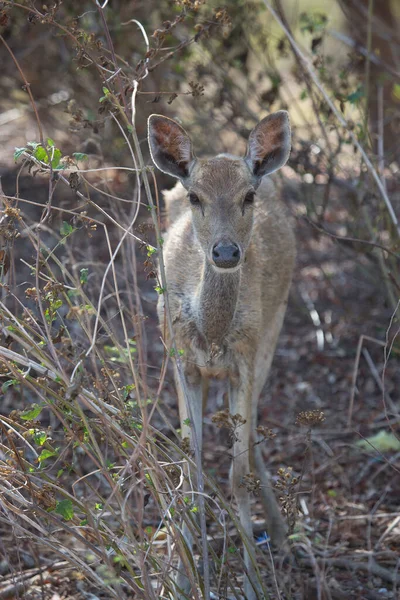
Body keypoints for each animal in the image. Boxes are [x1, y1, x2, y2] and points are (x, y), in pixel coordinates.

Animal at [148, 112, 296, 600]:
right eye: (196, 196)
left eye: (247, 195)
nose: (227, 251)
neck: (211, 330)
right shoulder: (180, 360)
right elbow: (190, 469)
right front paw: (182, 580)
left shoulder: (246, 357)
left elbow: (236, 473)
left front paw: (251, 584)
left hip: (275, 327)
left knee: (250, 439)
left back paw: (279, 531)